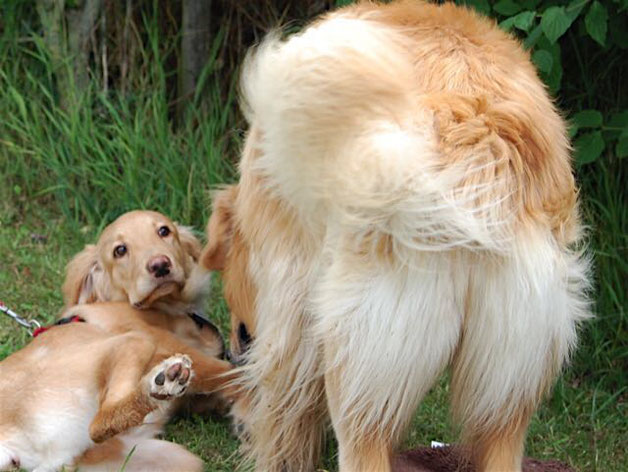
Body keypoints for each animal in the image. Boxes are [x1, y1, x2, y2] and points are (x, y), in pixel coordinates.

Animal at [0, 302, 239, 472]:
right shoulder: (155, 339)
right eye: (194, 320)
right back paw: (162, 385)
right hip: (126, 344)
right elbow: (228, 374)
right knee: (103, 420)